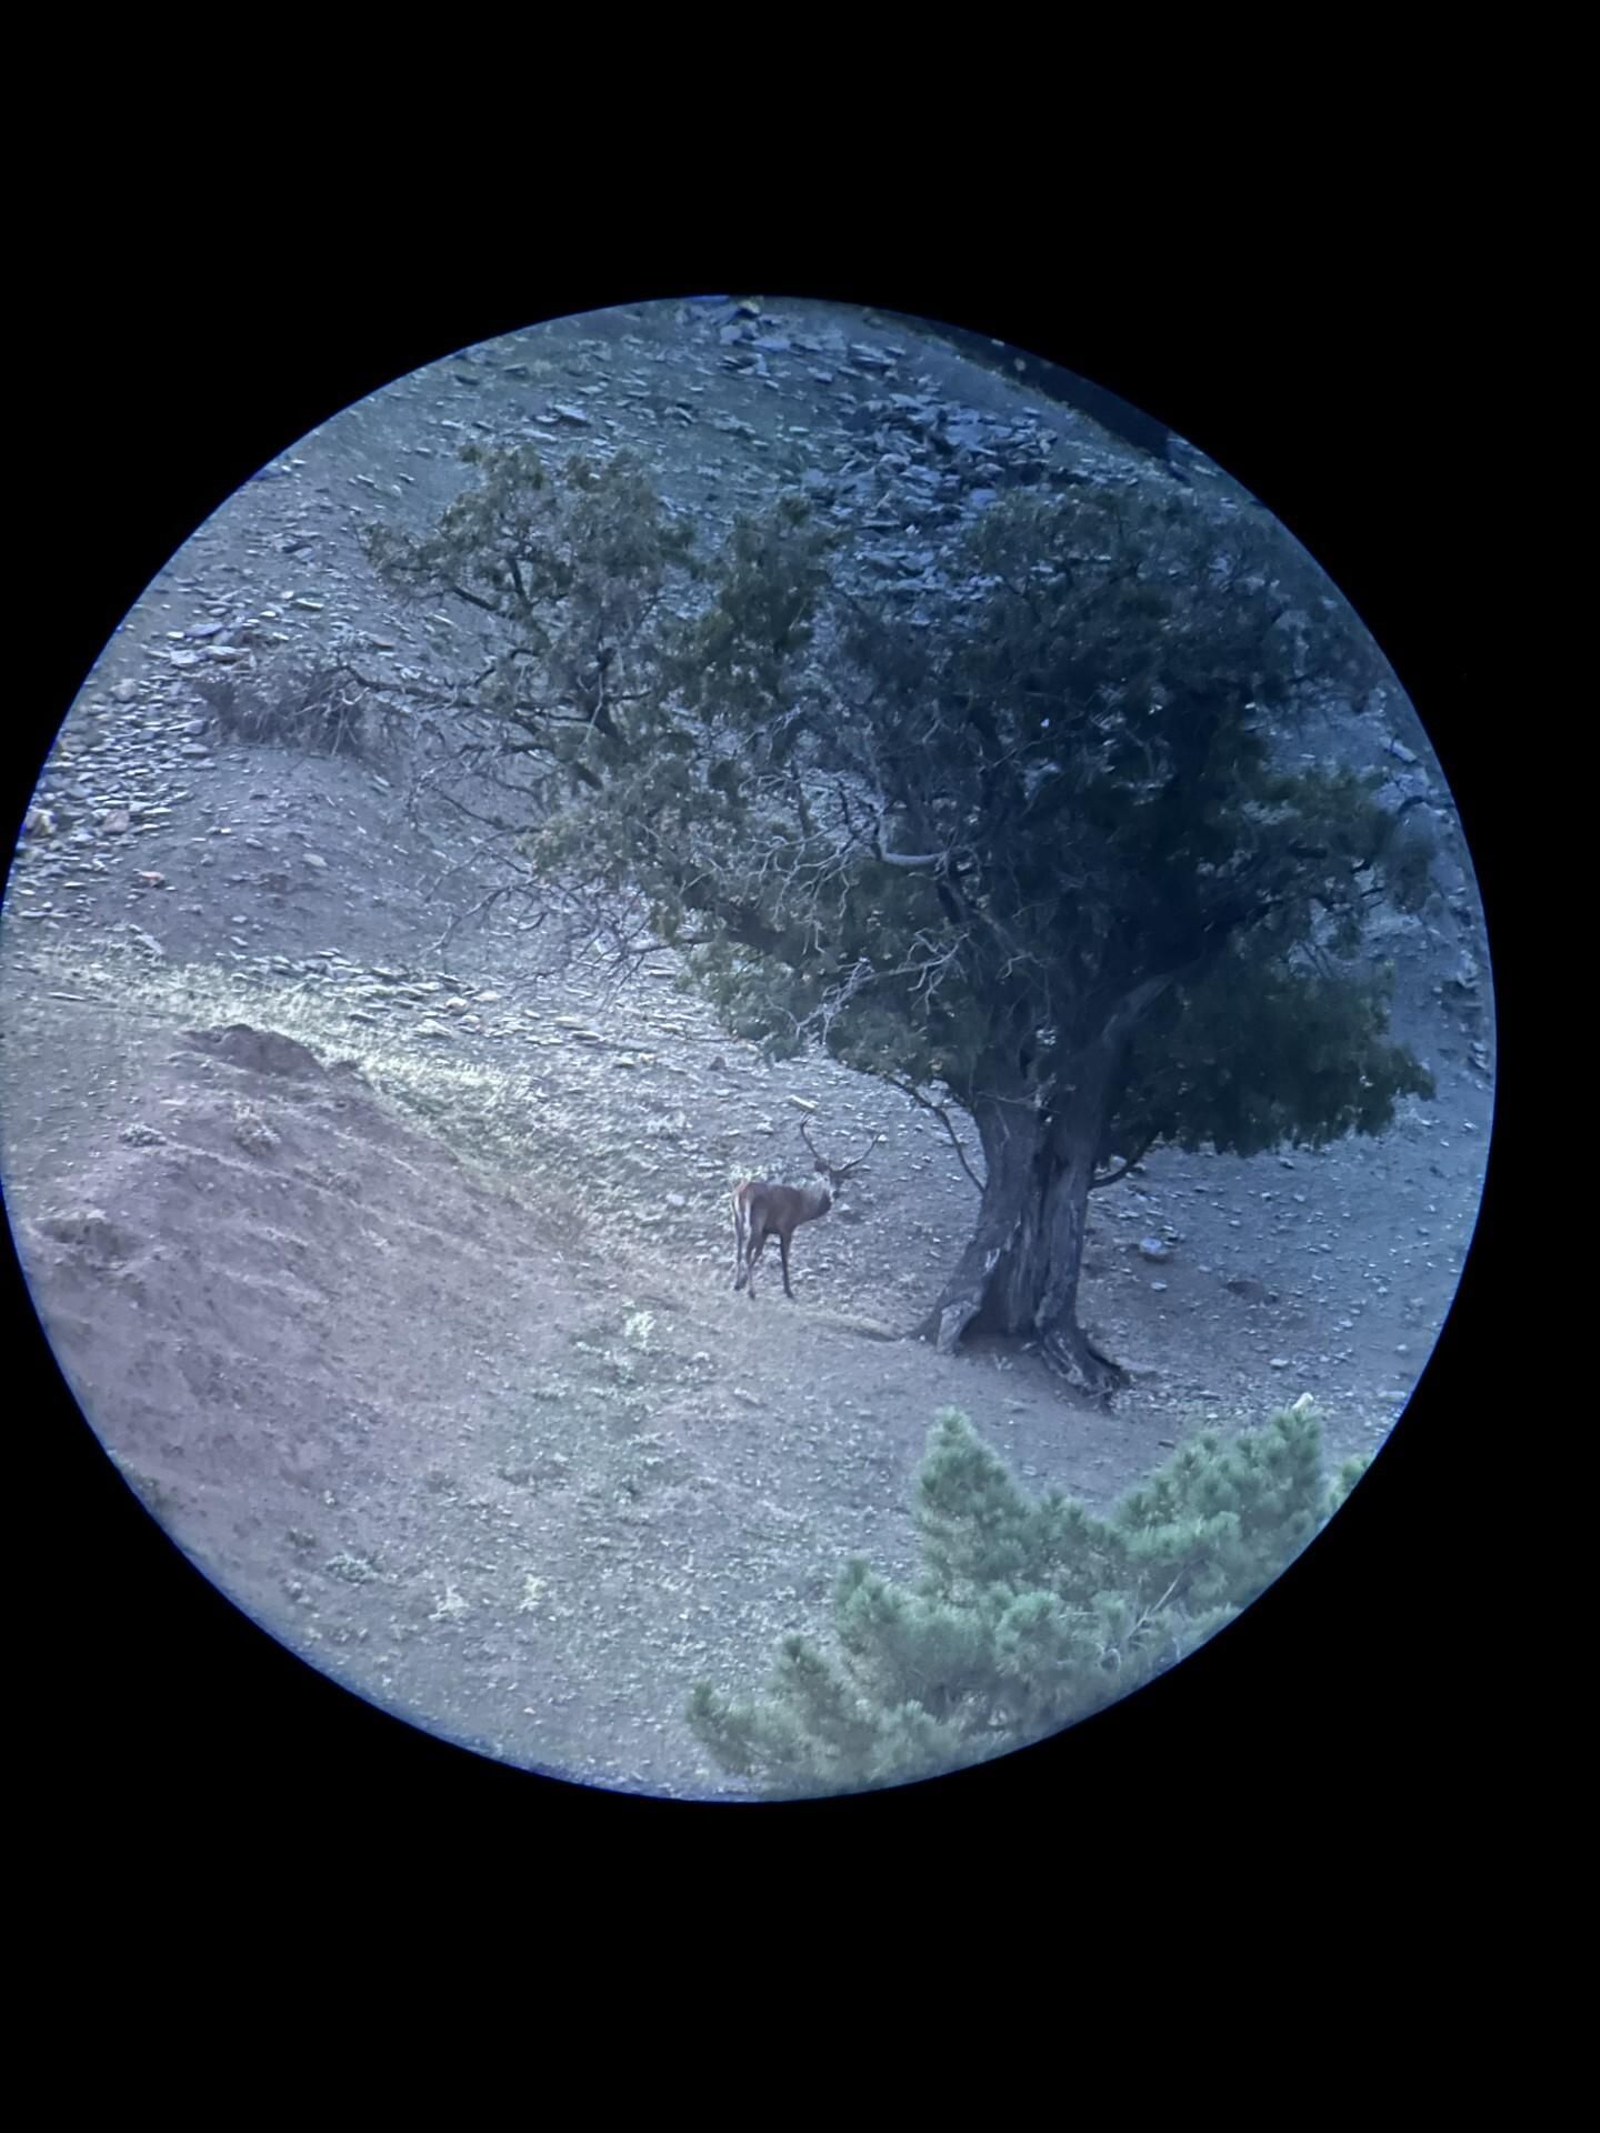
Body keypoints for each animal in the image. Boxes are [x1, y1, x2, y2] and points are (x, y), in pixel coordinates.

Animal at [731, 1117, 877, 1302]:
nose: (835, 1193)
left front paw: (741, 1282)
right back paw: (752, 1292)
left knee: (738, 1250)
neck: (802, 1207)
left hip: (738, 1219)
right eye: (826, 1178)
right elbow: (784, 1259)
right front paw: (788, 1290)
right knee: (746, 1251)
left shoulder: (767, 1230)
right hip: (755, 1220)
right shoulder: (786, 1227)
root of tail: (741, 1192)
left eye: (842, 1180)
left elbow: (759, 1254)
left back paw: (737, 1284)